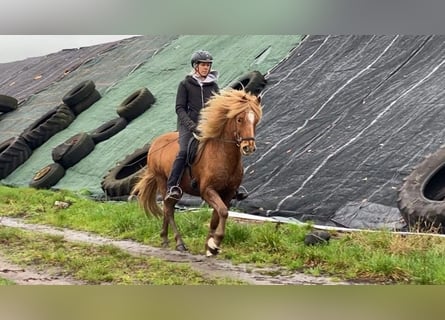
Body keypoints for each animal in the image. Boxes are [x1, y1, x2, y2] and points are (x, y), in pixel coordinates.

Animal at [132, 89, 264, 256]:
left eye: (255, 120)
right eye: (239, 119)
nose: (249, 147)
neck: (222, 155)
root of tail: (155, 143)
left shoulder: (227, 193)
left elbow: (217, 216)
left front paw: (209, 245)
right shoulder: (207, 191)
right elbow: (223, 212)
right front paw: (215, 243)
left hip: (179, 189)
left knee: (169, 208)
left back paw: (165, 238)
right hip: (163, 182)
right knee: (168, 209)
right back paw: (178, 242)